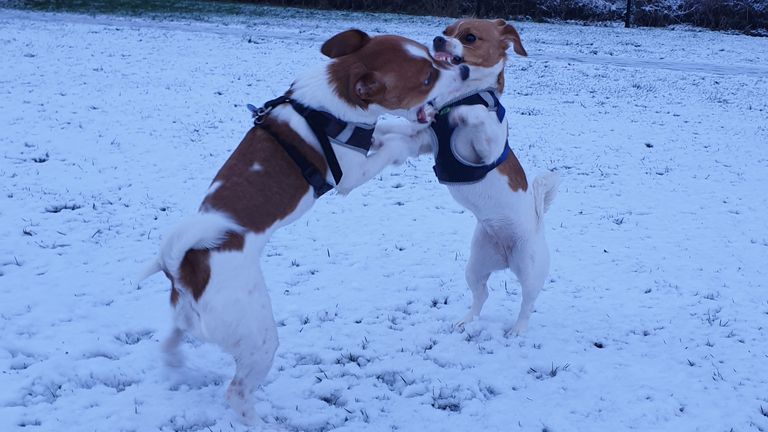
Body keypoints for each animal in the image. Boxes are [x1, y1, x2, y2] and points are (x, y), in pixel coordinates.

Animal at [139, 31, 468, 426]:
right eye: (426, 79)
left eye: (432, 57)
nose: (465, 71)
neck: (327, 106)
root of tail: (186, 270)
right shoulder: (351, 174)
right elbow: (390, 146)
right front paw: (415, 140)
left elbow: (387, 130)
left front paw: (412, 131)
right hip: (259, 339)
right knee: (236, 393)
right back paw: (258, 423)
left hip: (185, 320)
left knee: (170, 340)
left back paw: (176, 365)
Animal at [376, 18, 560, 336]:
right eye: (446, 30)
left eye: (470, 37)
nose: (437, 40)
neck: (461, 94)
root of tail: (505, 258)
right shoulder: (422, 140)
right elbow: (398, 129)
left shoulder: (486, 151)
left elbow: (475, 115)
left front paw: (461, 113)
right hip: (475, 265)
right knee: (482, 294)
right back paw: (466, 320)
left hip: (529, 269)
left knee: (527, 302)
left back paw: (517, 329)